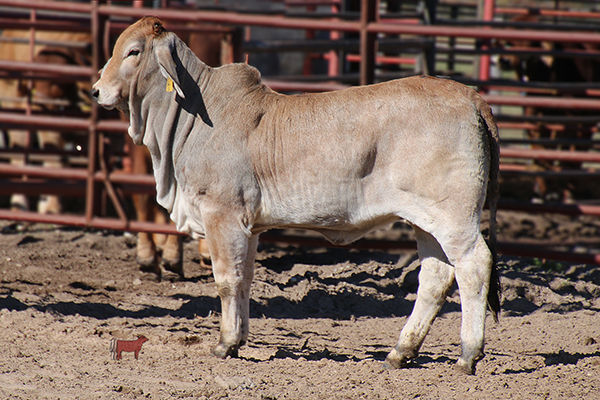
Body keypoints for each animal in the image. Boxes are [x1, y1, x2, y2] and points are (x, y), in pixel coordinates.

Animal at [91, 17, 500, 376]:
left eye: (132, 51)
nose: (96, 90)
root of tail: (470, 97)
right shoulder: (249, 226)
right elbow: (244, 278)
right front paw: (238, 339)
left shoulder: (222, 214)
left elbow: (226, 279)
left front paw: (224, 344)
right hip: (424, 221)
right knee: (435, 276)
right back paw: (401, 352)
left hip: (454, 218)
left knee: (474, 266)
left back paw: (467, 355)